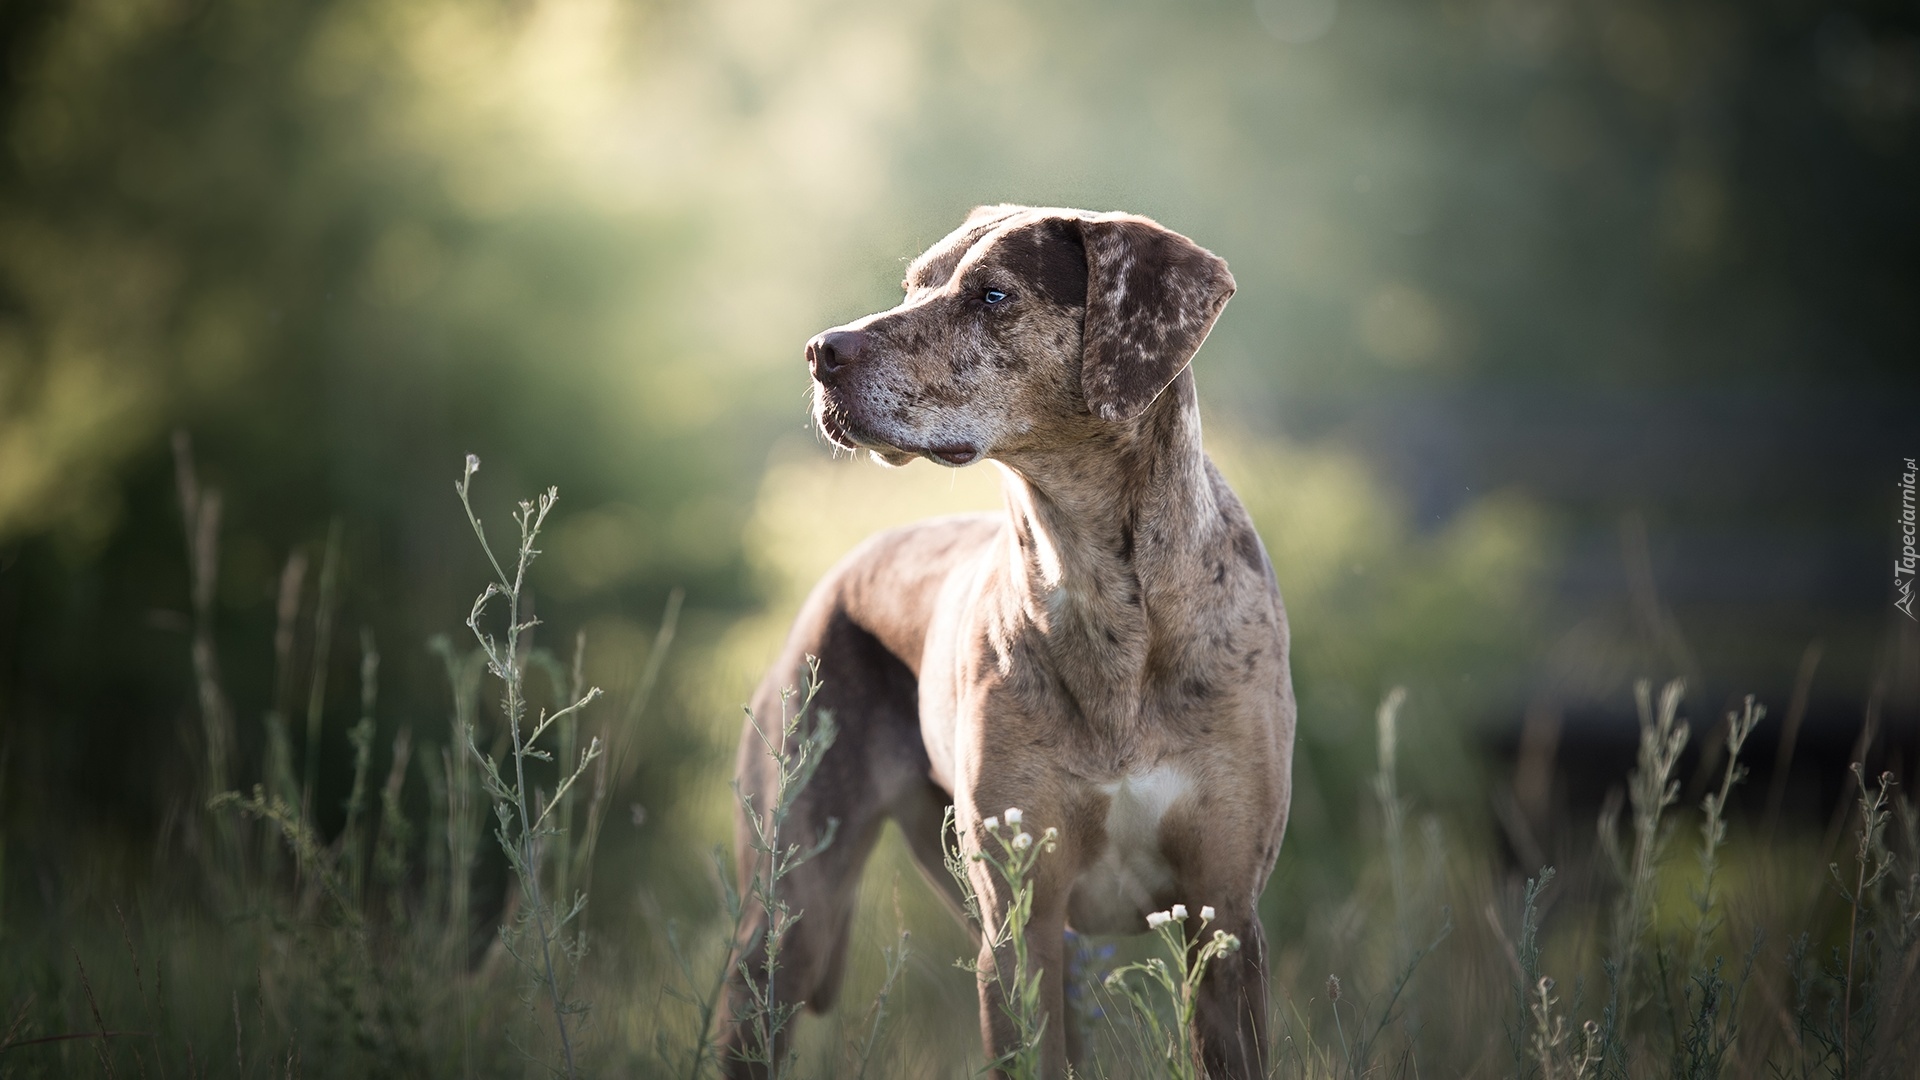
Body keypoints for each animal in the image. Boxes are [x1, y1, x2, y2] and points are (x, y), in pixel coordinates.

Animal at [725, 205, 1297, 1076]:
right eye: (913, 285)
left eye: (993, 294)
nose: (822, 351)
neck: (1103, 592)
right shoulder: (1019, 934)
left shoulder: (1225, 918)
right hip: (791, 915)